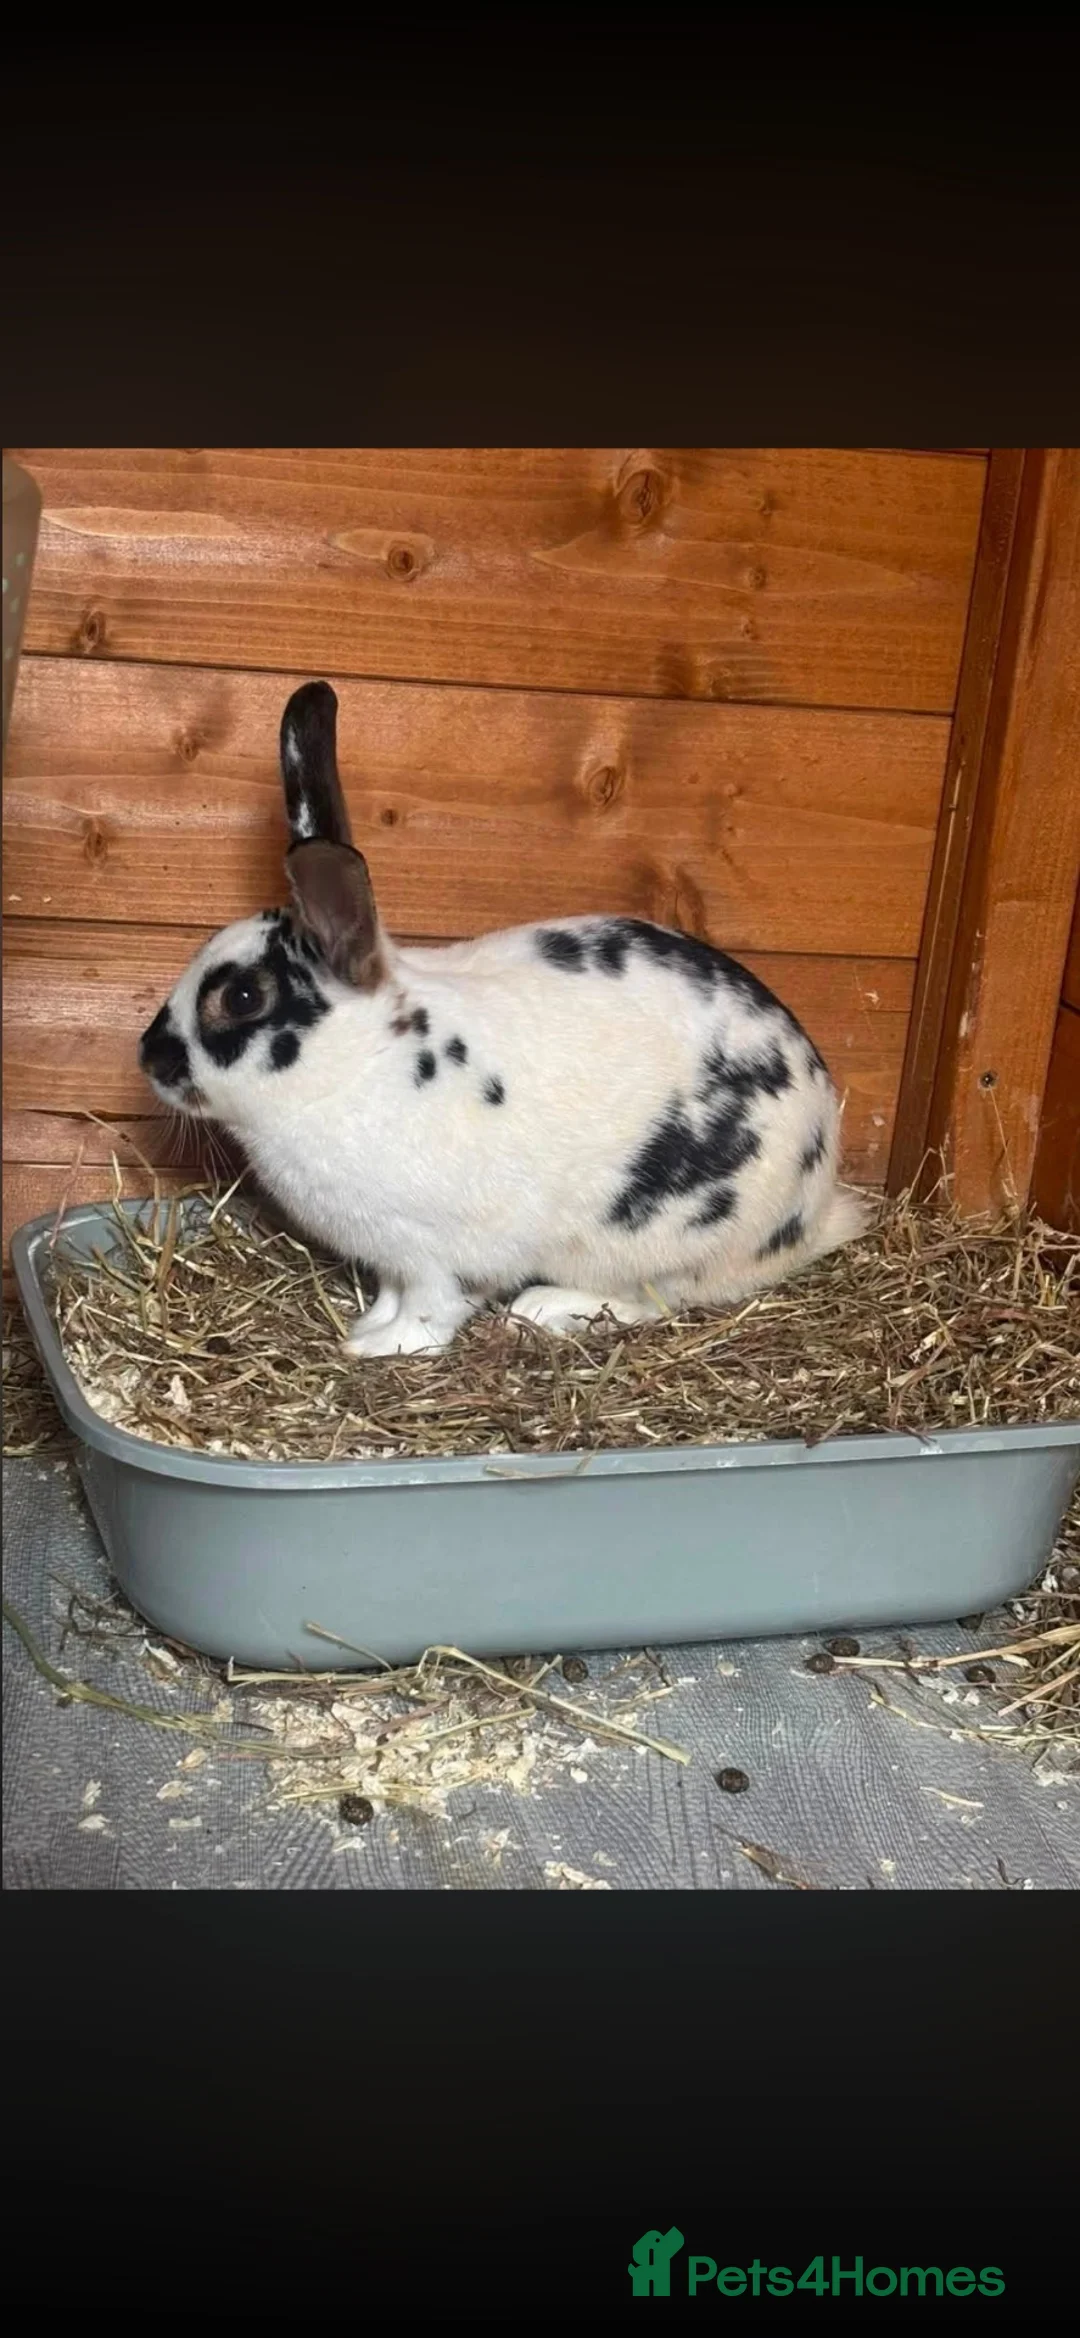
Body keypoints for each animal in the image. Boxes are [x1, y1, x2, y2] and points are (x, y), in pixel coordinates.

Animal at [139, 680, 869, 1356]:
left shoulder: (440, 1256)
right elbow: (392, 1292)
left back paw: (543, 1309)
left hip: (663, 1239)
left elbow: (432, 1307)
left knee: (654, 1299)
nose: (148, 1057)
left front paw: (383, 1347)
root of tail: (816, 1209)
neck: (361, 1063)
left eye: (241, 999)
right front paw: (368, 1325)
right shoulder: (394, 1258)